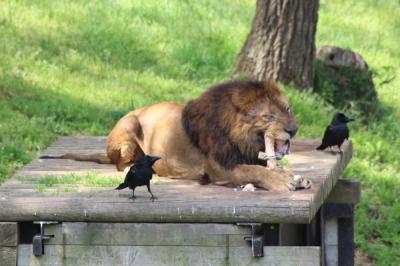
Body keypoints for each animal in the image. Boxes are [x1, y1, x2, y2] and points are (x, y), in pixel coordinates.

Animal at [104, 80, 298, 191]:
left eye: (288, 109)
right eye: (269, 116)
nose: (293, 130)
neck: (243, 141)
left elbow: (266, 166)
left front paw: (289, 174)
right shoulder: (219, 168)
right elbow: (254, 170)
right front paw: (282, 181)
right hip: (129, 125)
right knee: (121, 165)